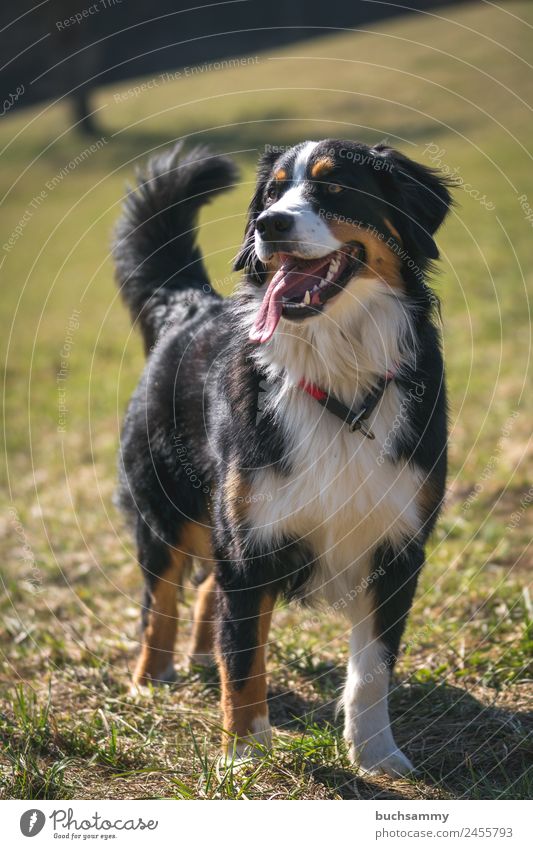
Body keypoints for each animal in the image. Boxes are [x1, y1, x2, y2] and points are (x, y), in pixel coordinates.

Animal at [114, 137, 450, 776]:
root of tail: (189, 305)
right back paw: (150, 679)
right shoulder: (251, 541)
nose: (269, 224)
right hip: (167, 504)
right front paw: (244, 755)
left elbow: (371, 672)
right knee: (159, 598)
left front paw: (377, 755)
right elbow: (245, 661)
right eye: (270, 194)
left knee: (204, 592)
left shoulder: (397, 544)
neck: (339, 377)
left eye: (334, 186)